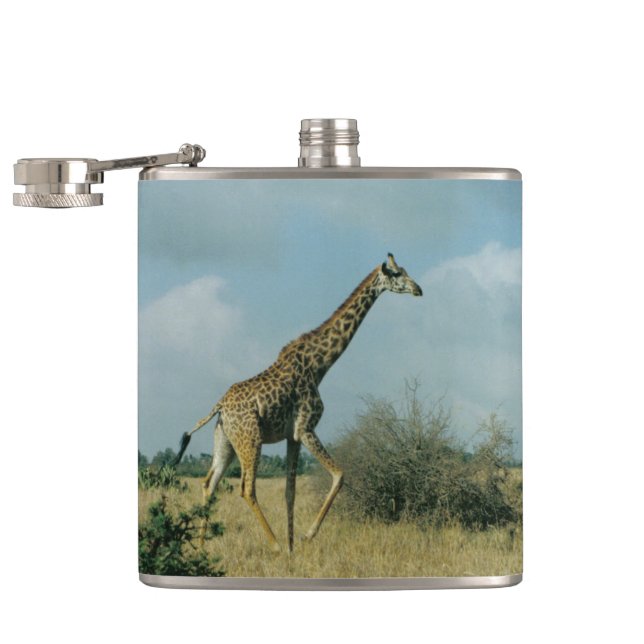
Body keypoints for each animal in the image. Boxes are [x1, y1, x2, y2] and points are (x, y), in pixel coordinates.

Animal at [174, 253, 423, 552]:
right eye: (397, 273)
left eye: (405, 270)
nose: (419, 289)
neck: (319, 364)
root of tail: (218, 406)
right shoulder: (306, 427)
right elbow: (339, 475)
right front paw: (305, 536)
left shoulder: (292, 436)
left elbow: (289, 491)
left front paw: (294, 547)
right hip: (250, 439)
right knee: (246, 487)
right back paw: (274, 544)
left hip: (226, 441)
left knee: (209, 483)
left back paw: (202, 547)